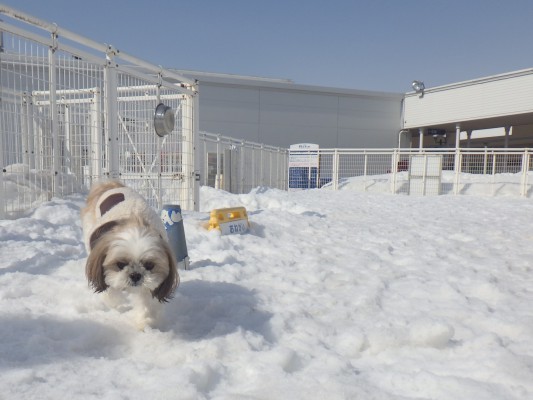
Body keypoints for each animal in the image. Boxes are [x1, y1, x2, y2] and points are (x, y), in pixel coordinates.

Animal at [80, 180, 178, 328]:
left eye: (149, 265)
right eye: (120, 264)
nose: (135, 275)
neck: (134, 221)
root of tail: (111, 184)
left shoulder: (150, 284)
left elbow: (146, 301)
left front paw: (145, 322)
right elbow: (110, 291)